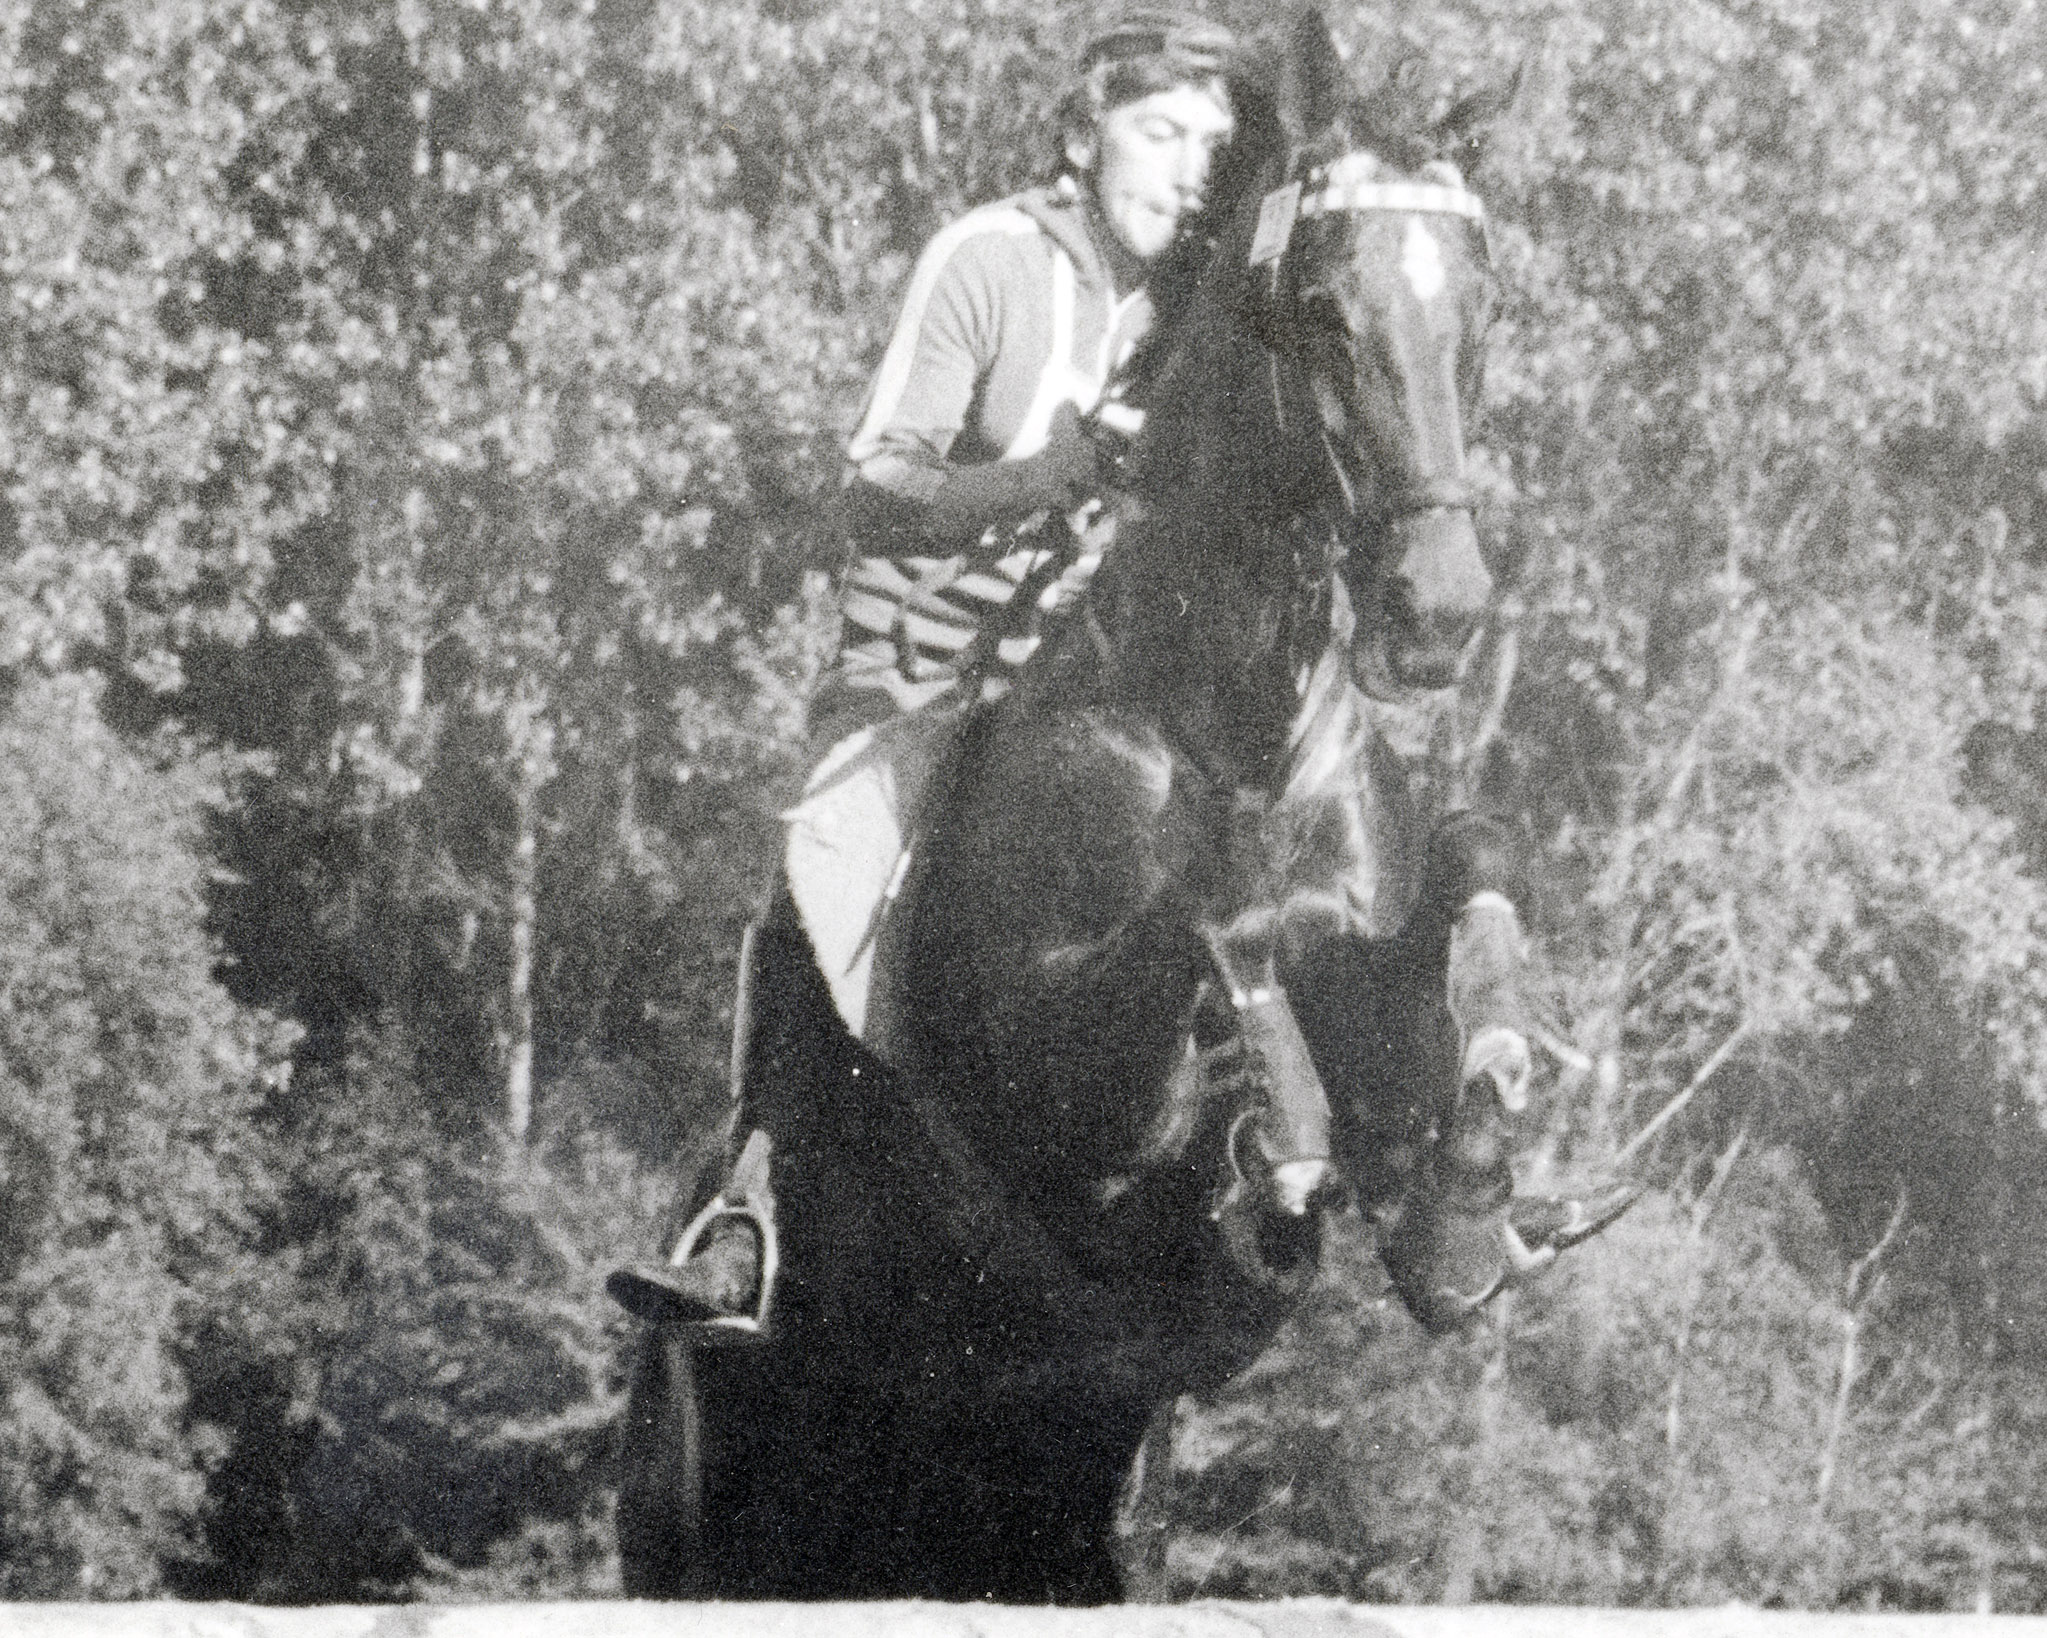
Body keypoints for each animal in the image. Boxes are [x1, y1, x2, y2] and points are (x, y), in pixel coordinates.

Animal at [618, 9, 1539, 1597]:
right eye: (1319, 306)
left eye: (1471, 310)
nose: (1436, 616)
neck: (1228, 733)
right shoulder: (1063, 1079)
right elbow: (1210, 939)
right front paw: (1277, 1129)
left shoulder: (1359, 940)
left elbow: (1454, 891)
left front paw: (1471, 1168)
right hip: (705, 1512)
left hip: (1068, 1516)